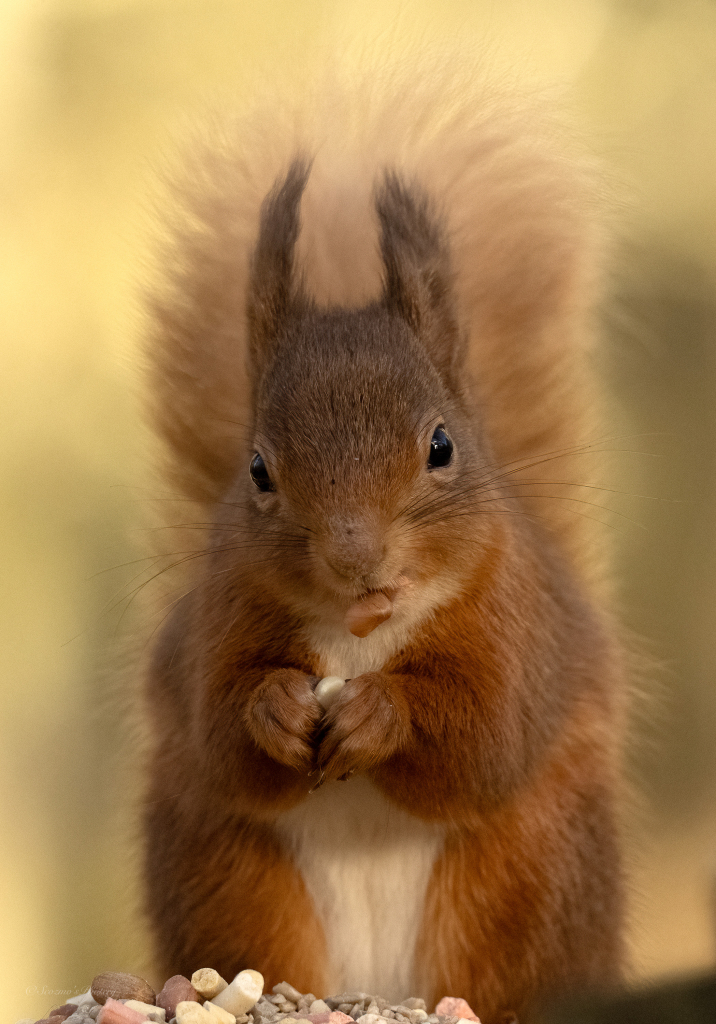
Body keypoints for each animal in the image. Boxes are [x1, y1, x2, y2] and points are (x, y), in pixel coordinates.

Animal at [144, 58, 626, 1024]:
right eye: (257, 469)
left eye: (441, 446)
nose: (355, 561)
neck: (359, 637)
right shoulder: (217, 618)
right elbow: (220, 732)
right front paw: (273, 706)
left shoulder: (517, 627)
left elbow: (484, 738)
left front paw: (380, 714)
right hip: (234, 879)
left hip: (530, 877)